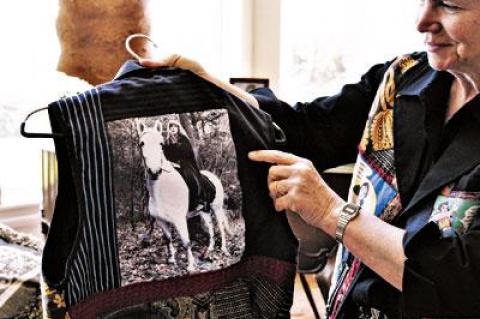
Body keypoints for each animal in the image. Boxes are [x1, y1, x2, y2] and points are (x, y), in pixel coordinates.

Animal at [136, 120, 232, 272]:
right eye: (142, 143)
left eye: (161, 143)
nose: (154, 171)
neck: (162, 192)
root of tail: (213, 177)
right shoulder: (161, 221)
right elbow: (168, 239)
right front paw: (171, 260)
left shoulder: (179, 220)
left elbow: (186, 242)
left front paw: (191, 266)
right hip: (204, 211)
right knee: (210, 226)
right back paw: (210, 249)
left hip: (216, 208)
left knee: (221, 226)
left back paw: (223, 248)